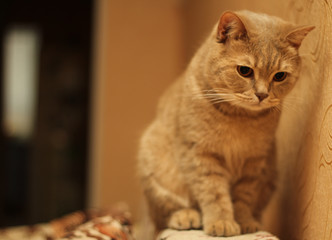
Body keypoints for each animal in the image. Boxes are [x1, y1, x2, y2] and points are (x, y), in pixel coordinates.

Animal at [137, 9, 314, 238]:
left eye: (280, 76)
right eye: (245, 71)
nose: (262, 95)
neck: (239, 118)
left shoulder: (254, 162)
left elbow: (244, 197)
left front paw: (244, 221)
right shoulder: (201, 154)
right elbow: (213, 192)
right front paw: (221, 222)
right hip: (154, 161)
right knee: (164, 213)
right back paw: (185, 216)